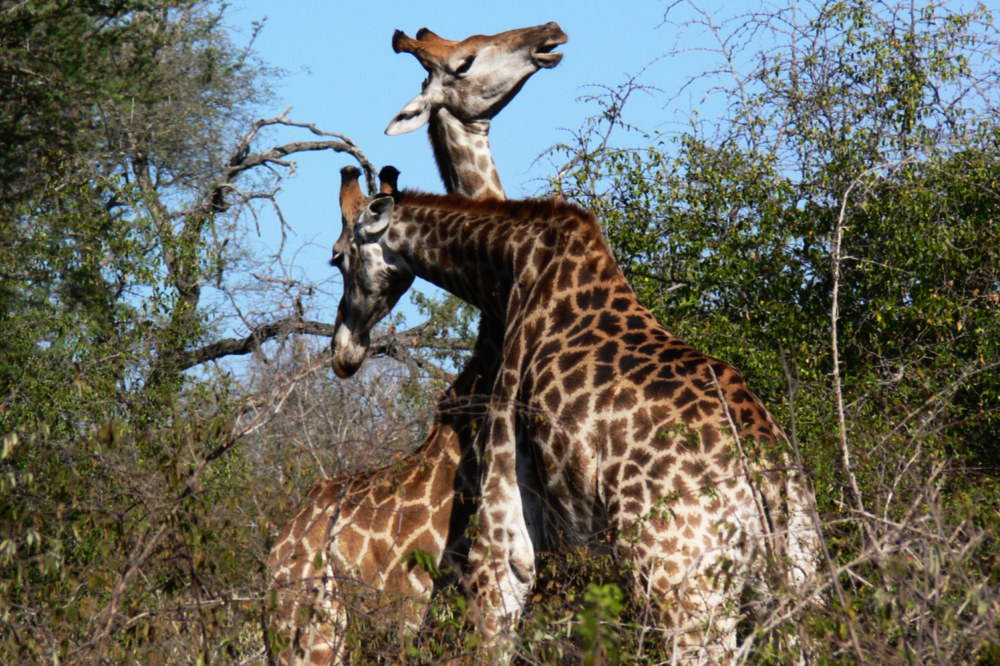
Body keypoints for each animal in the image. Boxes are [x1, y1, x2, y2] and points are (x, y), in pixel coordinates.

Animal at [330, 191, 820, 663]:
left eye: (337, 257)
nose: (343, 351)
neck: (514, 262)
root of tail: (765, 470)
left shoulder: (506, 497)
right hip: (793, 576)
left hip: (681, 580)